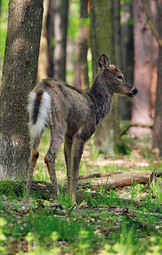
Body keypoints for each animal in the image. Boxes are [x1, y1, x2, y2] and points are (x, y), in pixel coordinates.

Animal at [23, 54, 139, 205]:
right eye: (119, 76)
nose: (135, 90)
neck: (96, 108)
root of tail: (41, 90)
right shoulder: (82, 134)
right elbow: (75, 171)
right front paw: (73, 202)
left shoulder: (69, 135)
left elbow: (68, 169)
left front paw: (69, 198)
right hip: (59, 121)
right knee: (49, 155)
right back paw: (58, 199)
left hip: (36, 122)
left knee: (34, 152)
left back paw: (26, 198)